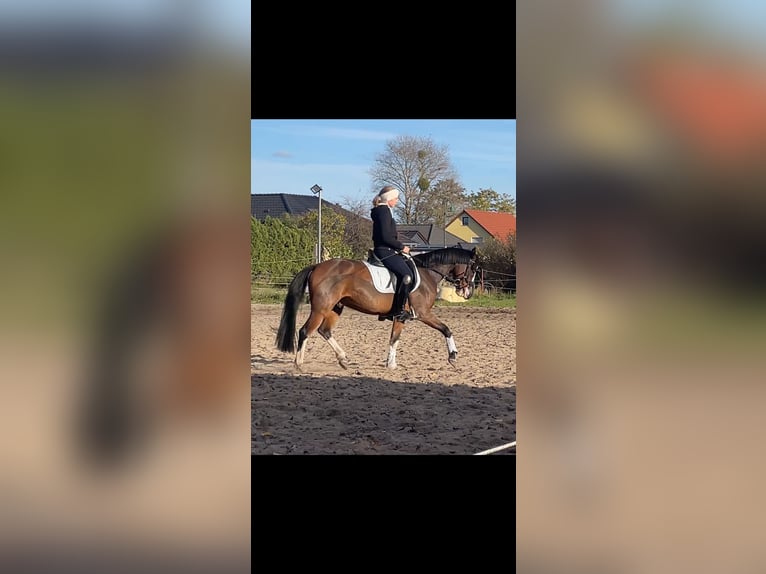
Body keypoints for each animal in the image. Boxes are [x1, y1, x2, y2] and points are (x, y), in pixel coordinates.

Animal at [275, 246, 479, 370]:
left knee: (324, 331)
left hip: (335, 308)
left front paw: (391, 364)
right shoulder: (423, 314)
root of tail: (317, 266)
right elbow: (446, 329)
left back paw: (343, 359)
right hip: (320, 309)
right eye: (474, 268)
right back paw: (299, 364)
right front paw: (453, 356)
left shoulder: (400, 317)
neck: (428, 273)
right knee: (304, 331)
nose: (468, 293)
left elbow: (394, 339)